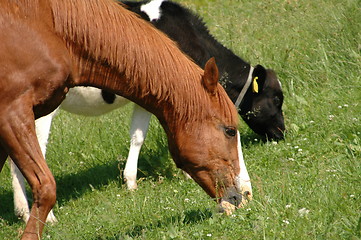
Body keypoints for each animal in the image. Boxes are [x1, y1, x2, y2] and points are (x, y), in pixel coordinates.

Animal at [11, 0, 282, 222]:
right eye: (277, 99)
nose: (282, 134)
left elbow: (137, 136)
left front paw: (131, 182)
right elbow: (142, 136)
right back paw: (36, 214)